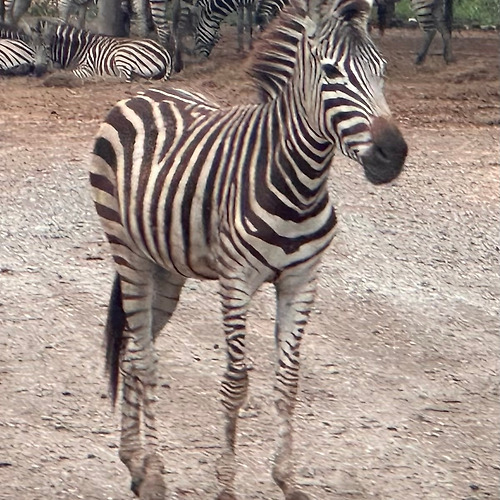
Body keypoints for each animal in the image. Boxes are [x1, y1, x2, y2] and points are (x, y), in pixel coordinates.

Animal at [32, 19, 174, 82]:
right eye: (34, 48)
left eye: (48, 48)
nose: (37, 71)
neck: (78, 50)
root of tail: (166, 53)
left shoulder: (86, 68)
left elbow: (68, 72)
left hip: (122, 55)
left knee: (125, 77)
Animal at [90, 0, 408, 498]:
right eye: (331, 72)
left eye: (382, 69)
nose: (393, 155)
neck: (299, 184)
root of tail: (143, 93)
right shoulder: (236, 281)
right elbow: (236, 383)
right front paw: (225, 484)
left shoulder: (301, 281)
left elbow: (289, 381)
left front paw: (287, 479)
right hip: (127, 251)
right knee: (143, 357)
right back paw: (155, 471)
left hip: (166, 266)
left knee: (134, 348)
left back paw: (136, 465)